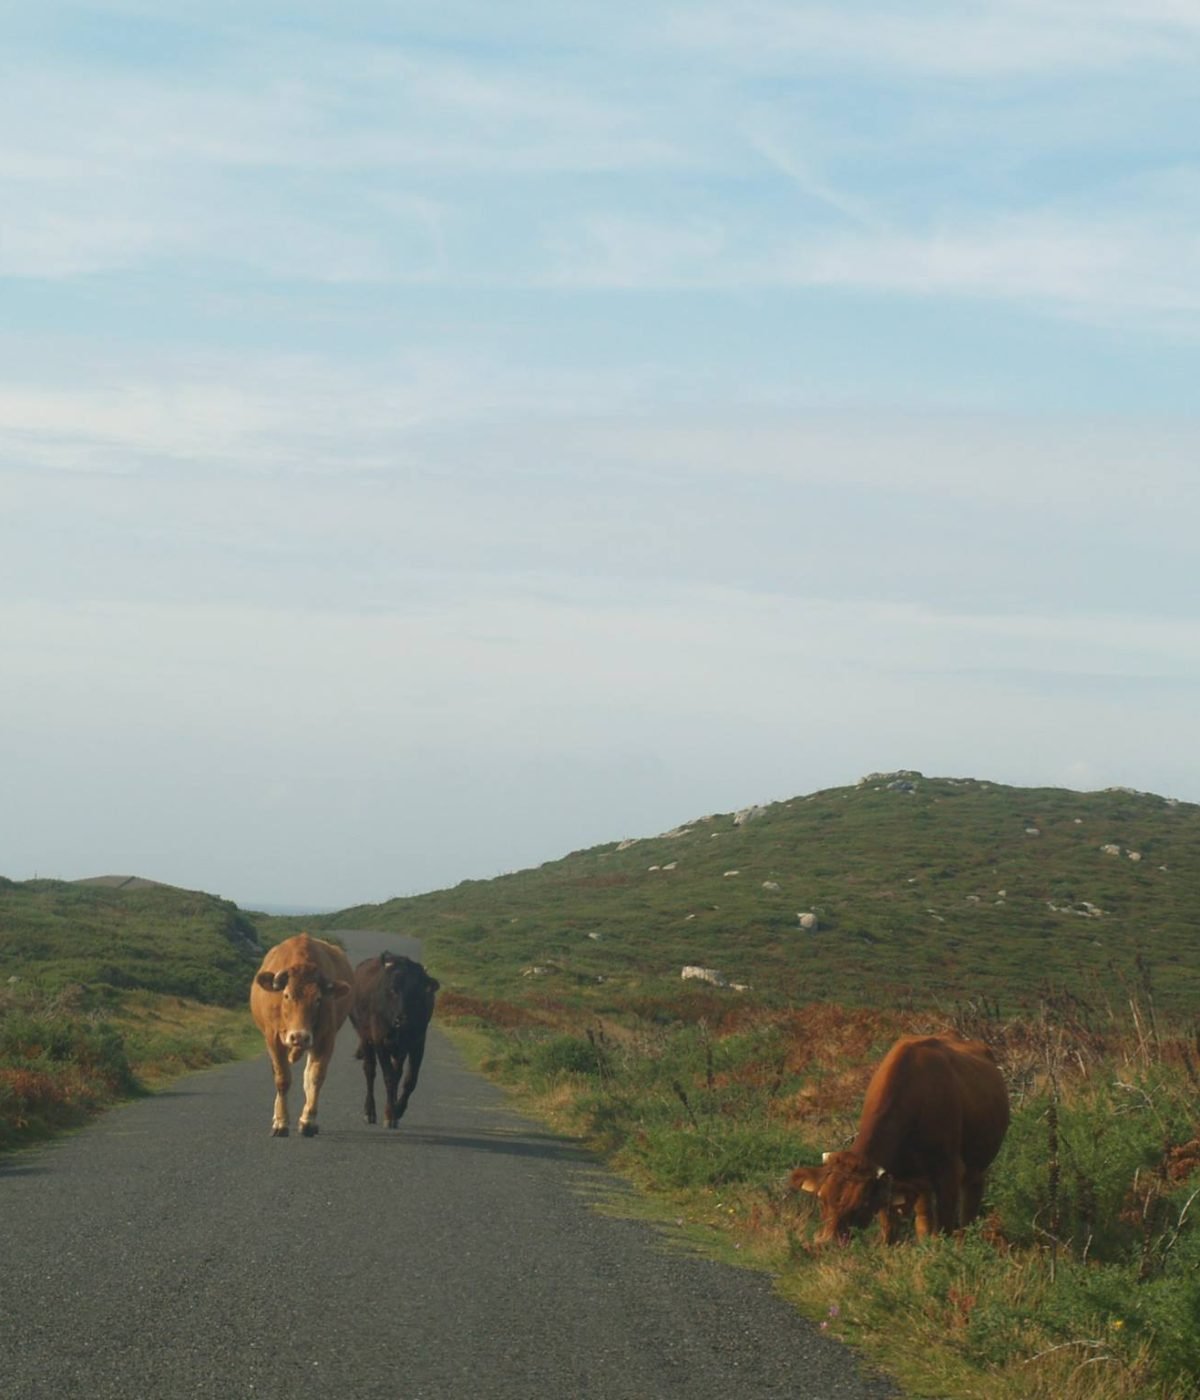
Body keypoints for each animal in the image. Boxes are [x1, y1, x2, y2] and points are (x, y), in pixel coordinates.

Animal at [249, 933, 353, 1138]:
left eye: (318, 999)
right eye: (287, 995)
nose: (299, 1037)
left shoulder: (326, 1038)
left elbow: (315, 1077)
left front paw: (308, 1121)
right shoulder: (273, 1039)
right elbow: (282, 1079)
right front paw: (281, 1122)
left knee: (307, 1075)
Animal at [350, 951, 439, 1129]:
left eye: (417, 991)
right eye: (393, 989)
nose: (402, 1019)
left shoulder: (417, 1044)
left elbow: (409, 1080)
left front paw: (397, 1110)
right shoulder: (380, 1042)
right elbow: (389, 1078)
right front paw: (390, 1115)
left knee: (397, 1073)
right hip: (365, 1038)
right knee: (370, 1071)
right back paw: (370, 1112)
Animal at [789, 1033, 1009, 1244]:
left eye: (861, 1205)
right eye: (821, 1198)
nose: (827, 1242)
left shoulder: (949, 1172)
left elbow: (946, 1225)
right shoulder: (892, 1182)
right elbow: (889, 1228)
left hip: (976, 1166)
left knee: (969, 1207)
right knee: (924, 1219)